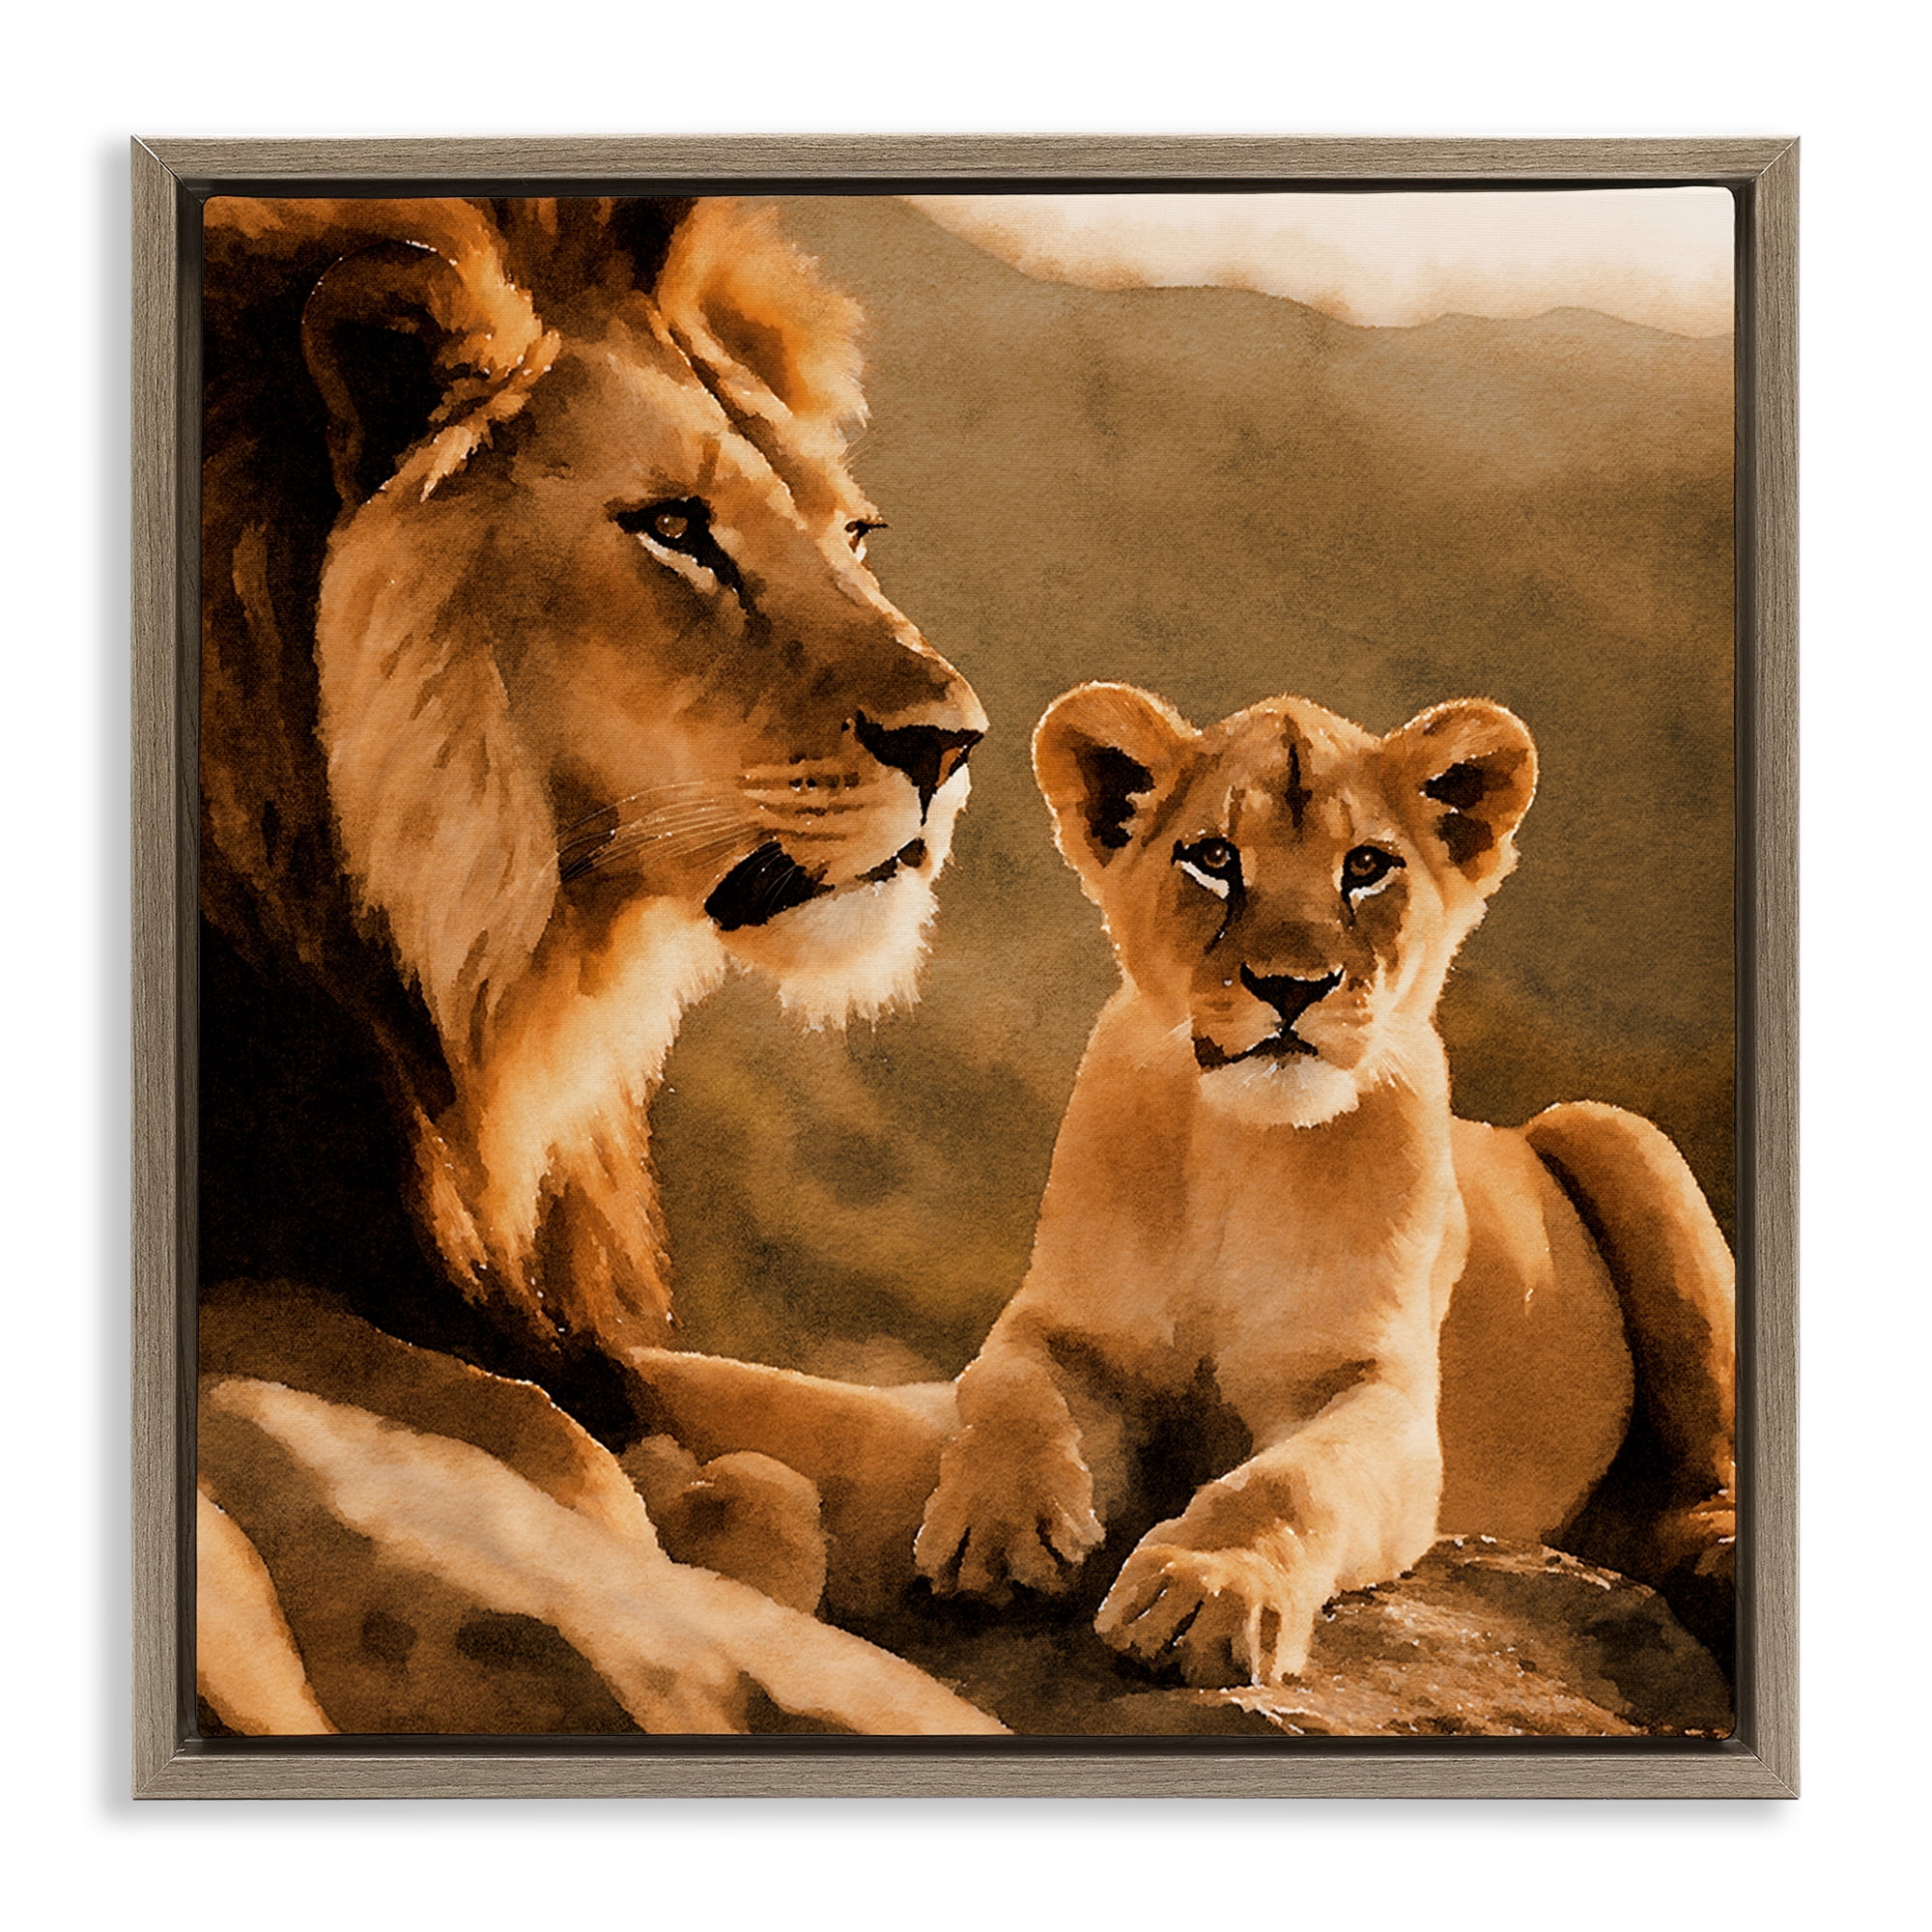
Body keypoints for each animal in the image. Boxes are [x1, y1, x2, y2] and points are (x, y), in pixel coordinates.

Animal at [196, 195, 996, 1733]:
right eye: (676, 529)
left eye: (854, 532)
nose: (953, 744)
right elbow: (557, 1452)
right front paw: (701, 1543)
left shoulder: (515, 1302)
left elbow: (844, 1418)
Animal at [910, 683, 1736, 1689]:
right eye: (1214, 859)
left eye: (1368, 867)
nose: (1291, 985)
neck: (1244, 1152)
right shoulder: (1065, 1324)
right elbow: (1009, 1392)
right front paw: (997, 1529)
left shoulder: (1381, 1395)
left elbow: (1287, 1482)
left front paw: (1204, 1590)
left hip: (1613, 1128)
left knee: (1711, 1473)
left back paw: (1714, 1553)